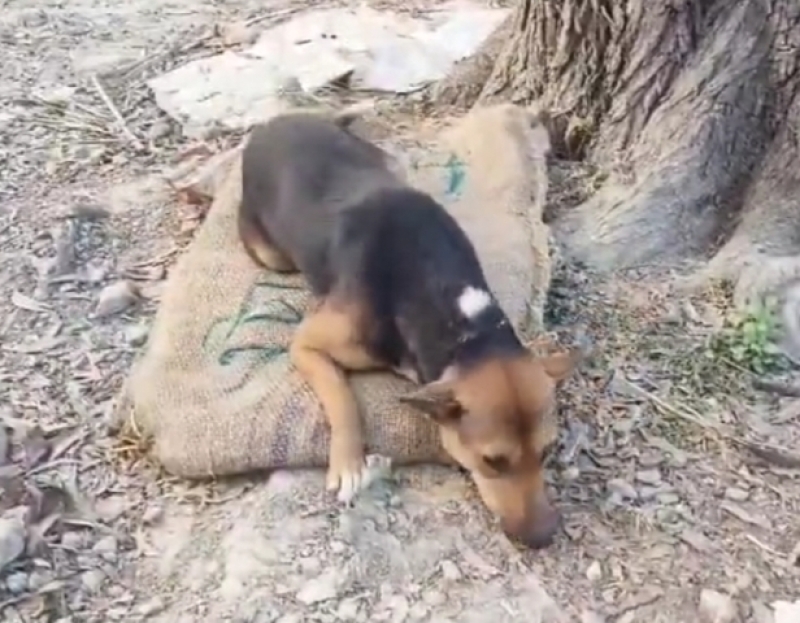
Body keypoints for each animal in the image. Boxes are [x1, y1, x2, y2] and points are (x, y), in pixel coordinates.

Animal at [239, 109, 580, 548]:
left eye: (547, 451)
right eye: (492, 461)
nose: (543, 537)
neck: (462, 326)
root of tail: (273, 122)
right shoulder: (306, 344)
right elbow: (340, 394)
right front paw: (349, 462)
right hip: (270, 253)